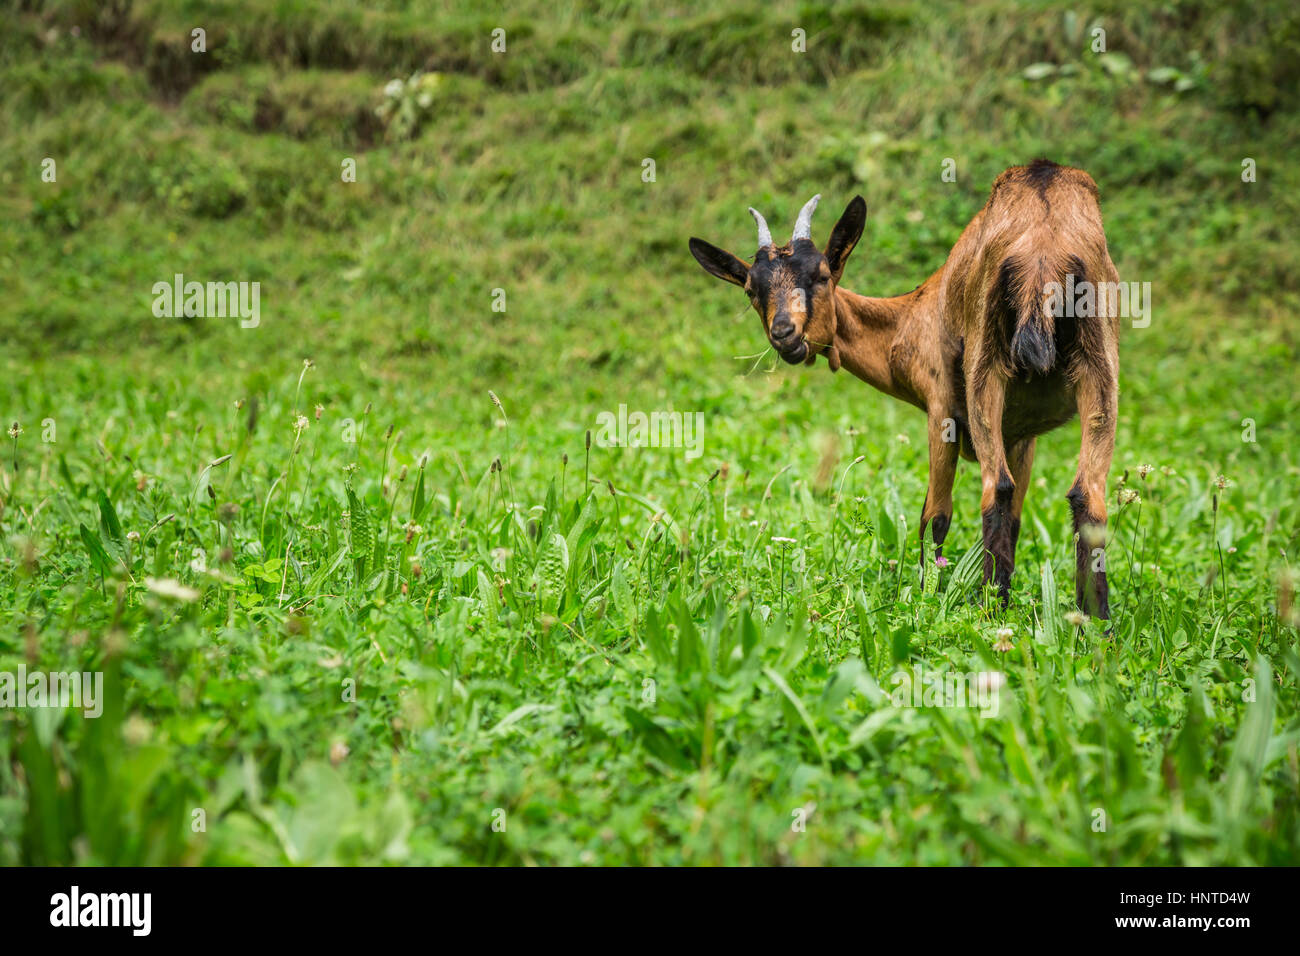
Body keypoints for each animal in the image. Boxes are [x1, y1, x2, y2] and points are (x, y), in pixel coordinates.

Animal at [689, 160, 1120, 617]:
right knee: (1087, 496)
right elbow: (1017, 516)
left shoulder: (942, 407)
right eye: (752, 290)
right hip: (1100, 366)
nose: (785, 334)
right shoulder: (1021, 435)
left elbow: (935, 516)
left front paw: (928, 599)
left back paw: (990, 609)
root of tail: (1043, 246)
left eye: (821, 275)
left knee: (995, 487)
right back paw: (1095, 621)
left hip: (985, 367)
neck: (913, 314)